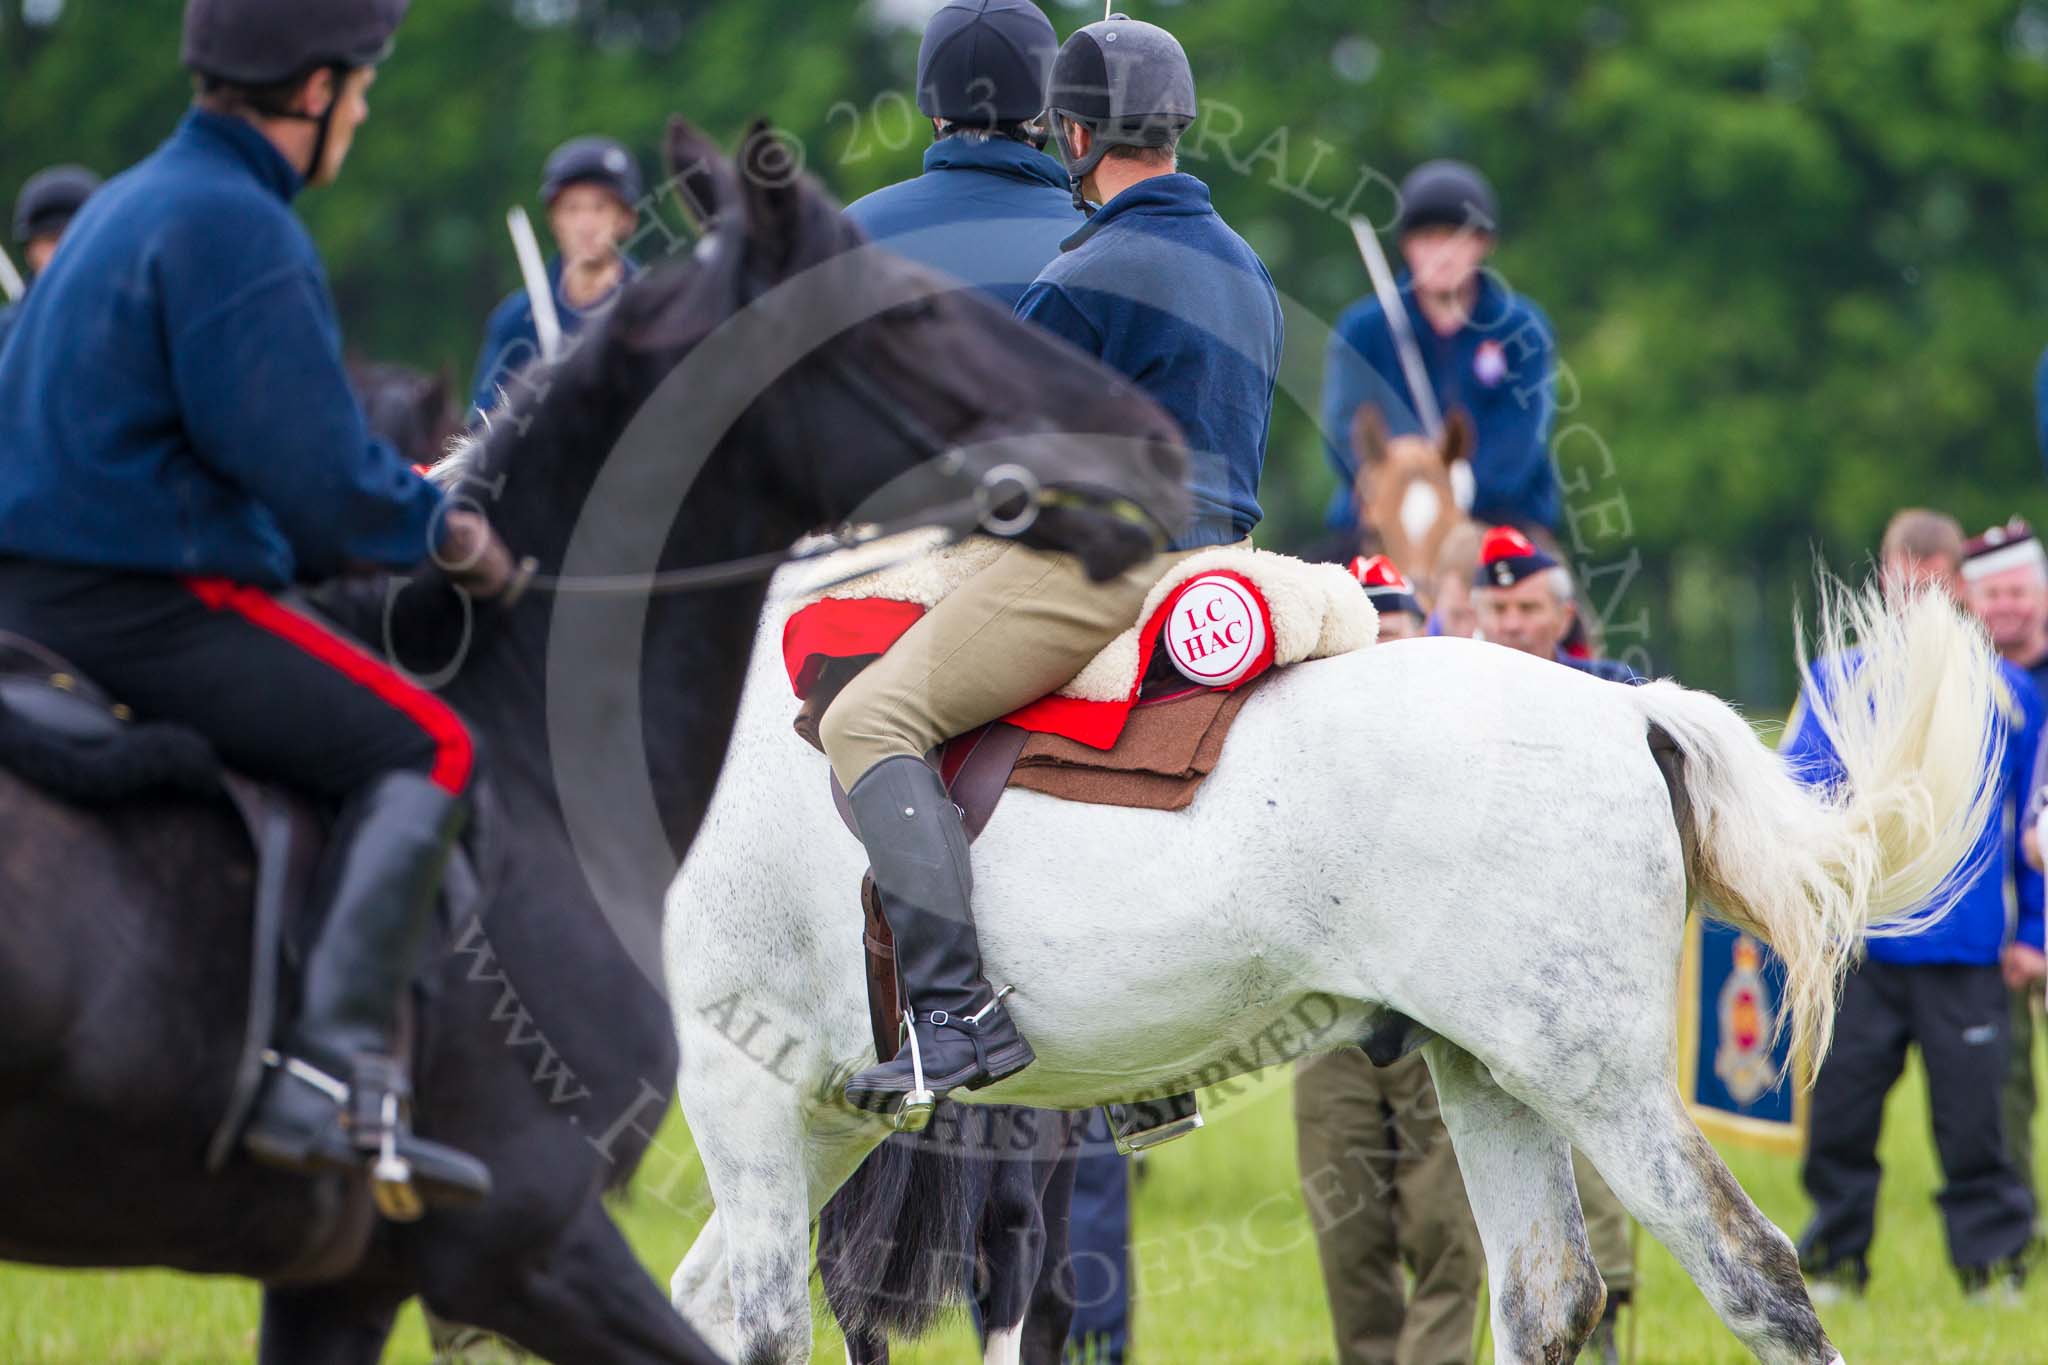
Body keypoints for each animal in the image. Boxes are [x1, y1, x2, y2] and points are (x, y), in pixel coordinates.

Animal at [667, 581, 1998, 1365]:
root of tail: (1627, 712)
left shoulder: (737, 1085)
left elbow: (765, 1326)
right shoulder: (820, 1111)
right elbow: (711, 1307)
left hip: (1595, 1081)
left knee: (1751, 1271)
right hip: (1488, 1073)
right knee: (1547, 1296)